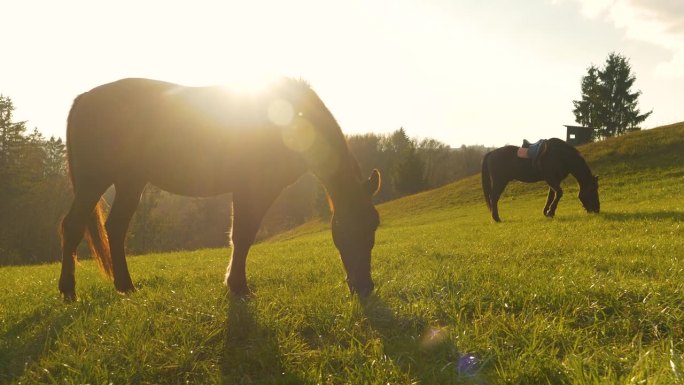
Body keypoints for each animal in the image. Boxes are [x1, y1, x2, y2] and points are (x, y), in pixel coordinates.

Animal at [58, 77, 380, 300]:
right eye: (346, 228)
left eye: (374, 225)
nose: (364, 287)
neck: (290, 120)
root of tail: (83, 99)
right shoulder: (253, 189)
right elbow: (243, 236)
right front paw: (238, 286)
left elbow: (241, 237)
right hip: (94, 181)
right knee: (72, 226)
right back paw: (68, 291)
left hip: (130, 182)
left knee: (115, 228)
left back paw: (125, 286)